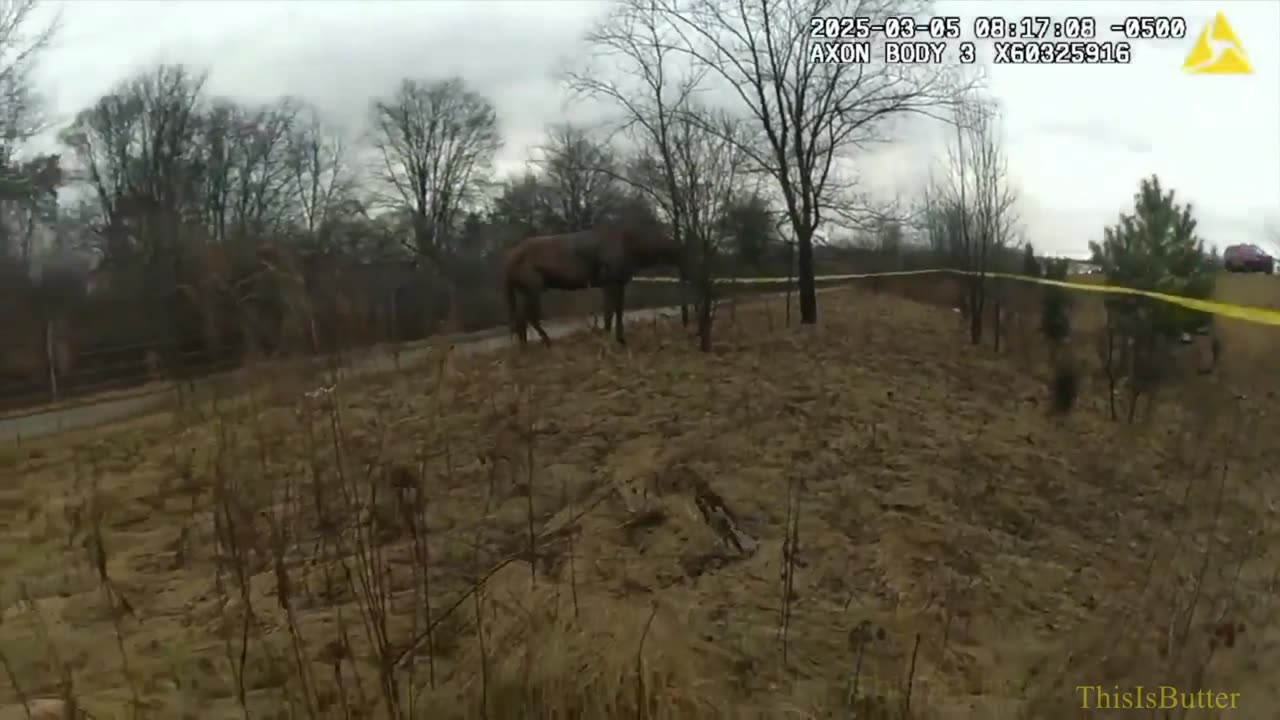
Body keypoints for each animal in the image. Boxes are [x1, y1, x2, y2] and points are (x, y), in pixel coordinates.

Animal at [499, 225, 686, 345]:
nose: (680, 251)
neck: (636, 252)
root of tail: (506, 264)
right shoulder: (612, 280)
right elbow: (613, 311)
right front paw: (615, 338)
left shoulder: (615, 282)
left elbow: (613, 311)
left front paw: (612, 336)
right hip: (533, 286)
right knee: (528, 316)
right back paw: (546, 341)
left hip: (525, 290)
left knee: (520, 318)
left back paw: (526, 346)